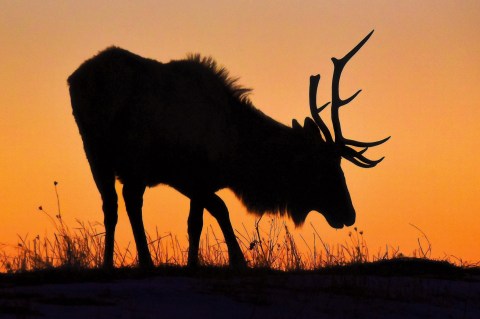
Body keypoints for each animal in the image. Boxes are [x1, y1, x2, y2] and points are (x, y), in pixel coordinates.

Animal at [67, 30, 388, 270]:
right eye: (324, 168)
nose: (349, 213)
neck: (236, 158)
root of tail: (78, 79)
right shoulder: (194, 173)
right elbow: (207, 215)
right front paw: (227, 261)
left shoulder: (187, 179)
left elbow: (207, 215)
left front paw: (206, 261)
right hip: (126, 155)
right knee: (129, 200)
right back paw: (144, 262)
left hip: (99, 154)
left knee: (112, 204)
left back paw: (108, 263)